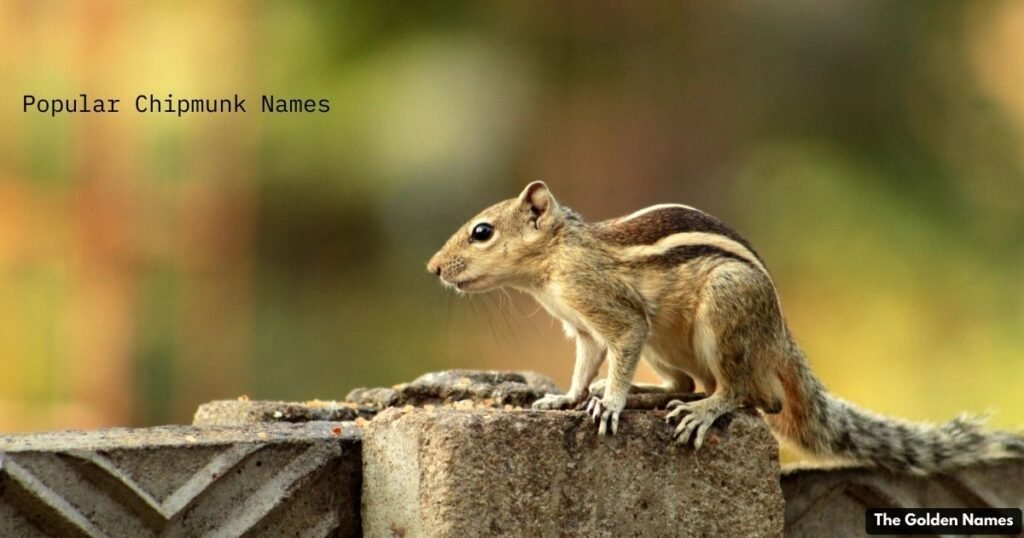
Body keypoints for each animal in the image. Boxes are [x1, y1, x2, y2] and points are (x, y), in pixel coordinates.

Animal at [427, 181, 1024, 475]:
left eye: (482, 232)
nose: (433, 268)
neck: (555, 260)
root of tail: (780, 337)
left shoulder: (618, 319)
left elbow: (618, 352)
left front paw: (612, 402)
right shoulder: (585, 333)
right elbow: (583, 368)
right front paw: (567, 398)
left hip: (724, 311)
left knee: (748, 395)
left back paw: (702, 411)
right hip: (667, 345)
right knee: (688, 383)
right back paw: (651, 395)